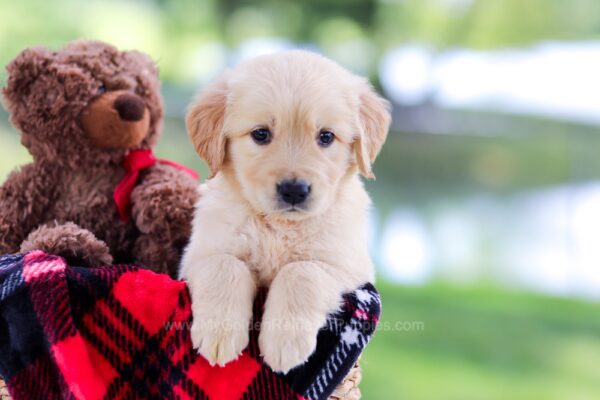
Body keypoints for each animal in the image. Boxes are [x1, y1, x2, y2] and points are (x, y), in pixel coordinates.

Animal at [180, 49, 392, 372]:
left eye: (326, 137)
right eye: (261, 134)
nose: (294, 190)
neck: (279, 225)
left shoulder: (348, 265)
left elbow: (301, 271)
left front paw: (284, 340)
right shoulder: (199, 253)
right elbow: (226, 265)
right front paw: (220, 332)